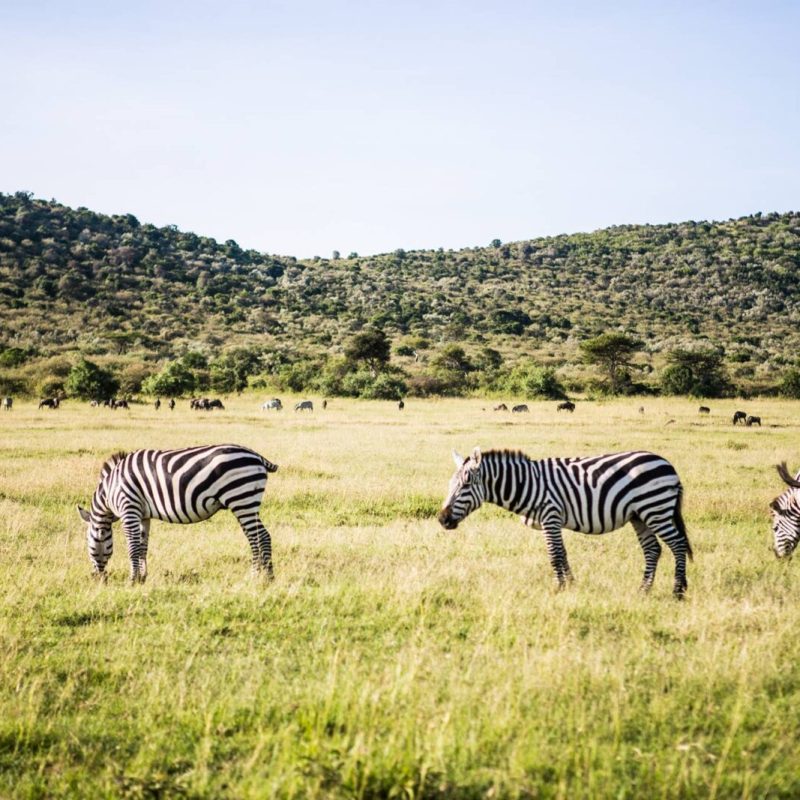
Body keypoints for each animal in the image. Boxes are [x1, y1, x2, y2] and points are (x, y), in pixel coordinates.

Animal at [77, 444, 278, 582]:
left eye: (89, 543)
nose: (97, 578)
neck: (109, 491)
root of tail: (257, 456)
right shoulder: (143, 515)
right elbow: (143, 546)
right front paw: (143, 577)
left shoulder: (129, 509)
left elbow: (132, 547)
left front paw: (132, 580)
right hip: (247, 502)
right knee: (262, 536)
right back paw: (268, 576)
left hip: (241, 499)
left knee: (257, 536)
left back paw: (256, 575)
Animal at [438, 448, 693, 597]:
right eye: (450, 485)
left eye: (465, 486)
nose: (442, 519)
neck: (527, 484)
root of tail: (668, 464)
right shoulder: (553, 520)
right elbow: (563, 553)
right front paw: (570, 584)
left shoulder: (550, 515)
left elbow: (554, 554)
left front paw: (557, 587)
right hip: (640, 516)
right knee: (653, 550)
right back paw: (643, 590)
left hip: (656, 509)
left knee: (678, 545)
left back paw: (678, 591)